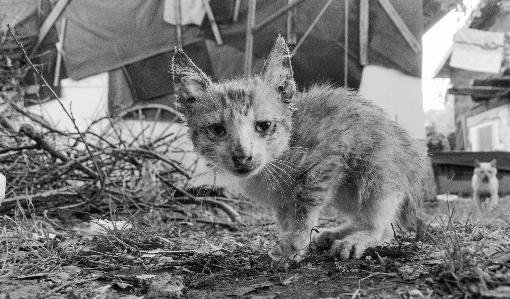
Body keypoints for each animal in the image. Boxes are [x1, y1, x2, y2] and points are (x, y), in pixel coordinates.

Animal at [171, 35, 426, 262]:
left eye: (264, 125)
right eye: (217, 129)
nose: (243, 156)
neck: (275, 162)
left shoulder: (330, 153)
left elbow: (305, 202)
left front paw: (295, 242)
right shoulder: (282, 200)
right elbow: (286, 217)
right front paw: (290, 246)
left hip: (377, 168)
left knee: (386, 224)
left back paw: (357, 239)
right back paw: (334, 233)